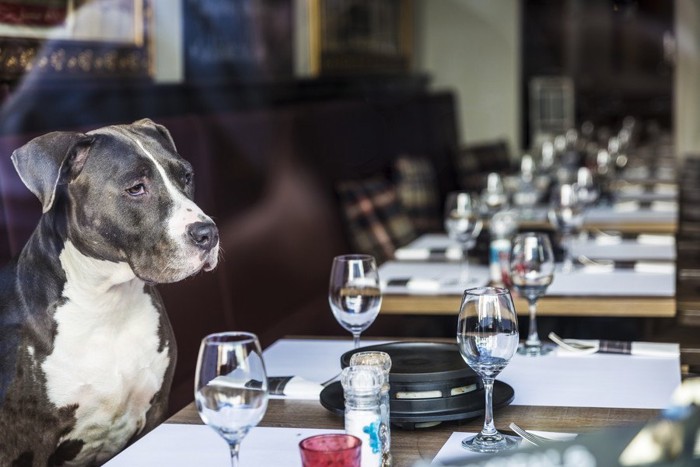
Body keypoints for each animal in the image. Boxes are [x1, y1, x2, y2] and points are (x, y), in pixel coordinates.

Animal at [0, 119, 219, 467]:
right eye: (135, 188)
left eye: (186, 176)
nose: (208, 233)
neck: (106, 305)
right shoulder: (32, 444)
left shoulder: (155, 411)